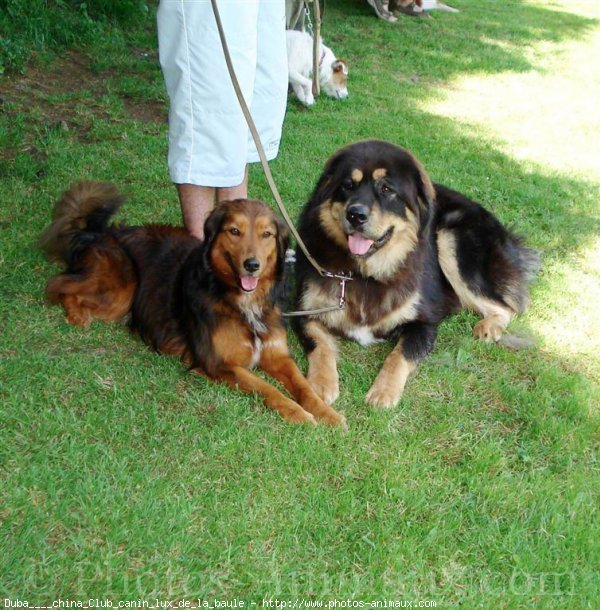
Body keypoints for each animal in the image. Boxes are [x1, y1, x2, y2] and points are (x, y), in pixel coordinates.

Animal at [38, 180, 346, 426]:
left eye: (266, 234)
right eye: (234, 231)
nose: (252, 265)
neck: (239, 300)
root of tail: (99, 233)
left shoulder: (277, 355)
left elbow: (304, 387)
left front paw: (326, 414)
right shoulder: (220, 364)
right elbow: (268, 389)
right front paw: (299, 414)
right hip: (120, 291)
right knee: (58, 285)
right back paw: (77, 315)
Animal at [292, 141, 540, 408]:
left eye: (387, 189)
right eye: (348, 185)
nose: (355, 214)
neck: (365, 274)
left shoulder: (424, 322)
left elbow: (400, 355)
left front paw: (384, 391)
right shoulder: (305, 311)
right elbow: (320, 346)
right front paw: (320, 384)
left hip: (451, 240)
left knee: (505, 307)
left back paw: (489, 327)